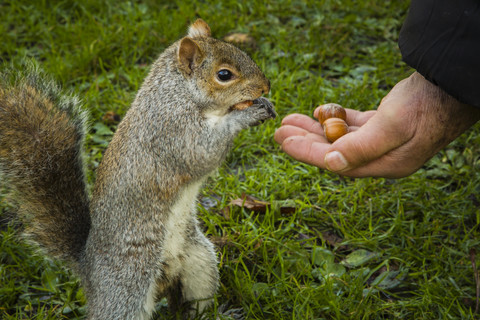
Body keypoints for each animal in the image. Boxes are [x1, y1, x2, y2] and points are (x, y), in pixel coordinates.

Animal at [0, 19, 276, 320]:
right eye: (224, 74)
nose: (265, 87)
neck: (179, 93)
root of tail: (88, 269)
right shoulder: (171, 130)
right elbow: (202, 152)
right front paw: (247, 115)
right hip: (129, 282)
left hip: (200, 261)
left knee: (195, 303)